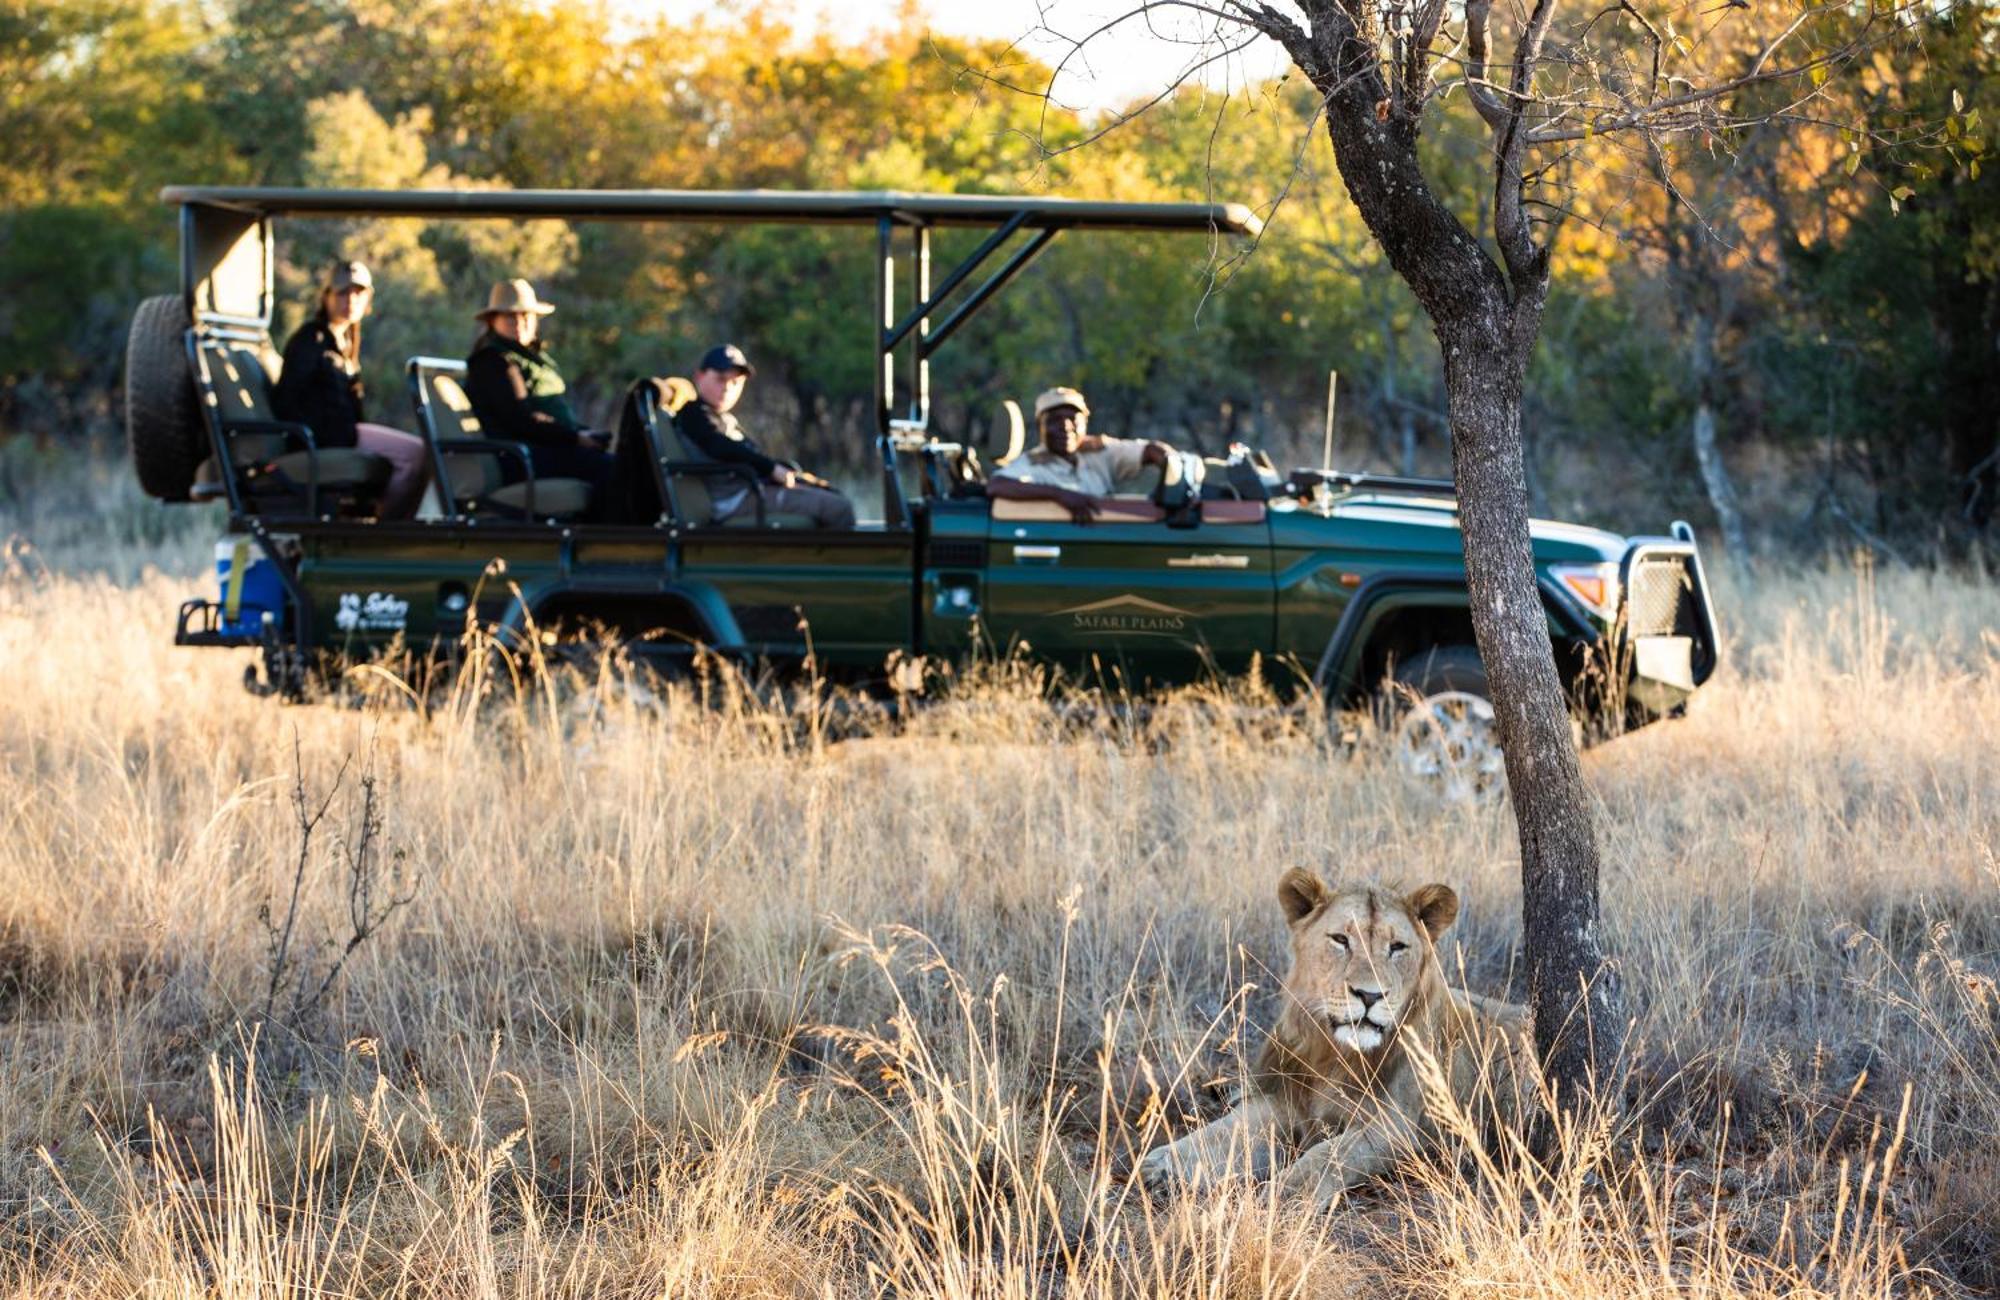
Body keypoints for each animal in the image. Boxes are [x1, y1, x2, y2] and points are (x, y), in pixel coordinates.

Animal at [1144, 864, 1528, 1200]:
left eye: (1397, 947)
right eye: (1341, 940)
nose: (1370, 995)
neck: (1335, 1054)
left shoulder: (1399, 1125)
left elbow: (1328, 1154)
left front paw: (1286, 1194)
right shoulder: (1283, 1100)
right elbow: (1224, 1132)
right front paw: (1162, 1164)